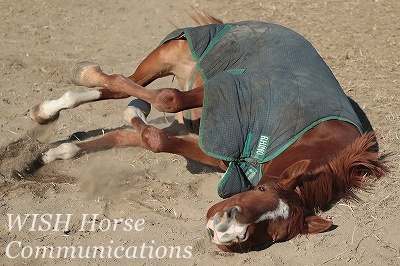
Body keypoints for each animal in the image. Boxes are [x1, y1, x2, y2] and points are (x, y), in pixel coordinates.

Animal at [28, 16, 388, 251]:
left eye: (275, 235)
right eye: (261, 191)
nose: (227, 229)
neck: (311, 142)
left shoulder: (222, 154)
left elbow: (154, 139)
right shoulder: (231, 90)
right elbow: (167, 101)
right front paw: (133, 112)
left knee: (120, 92)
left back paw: (53, 141)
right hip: (167, 59)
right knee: (122, 82)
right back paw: (79, 82)